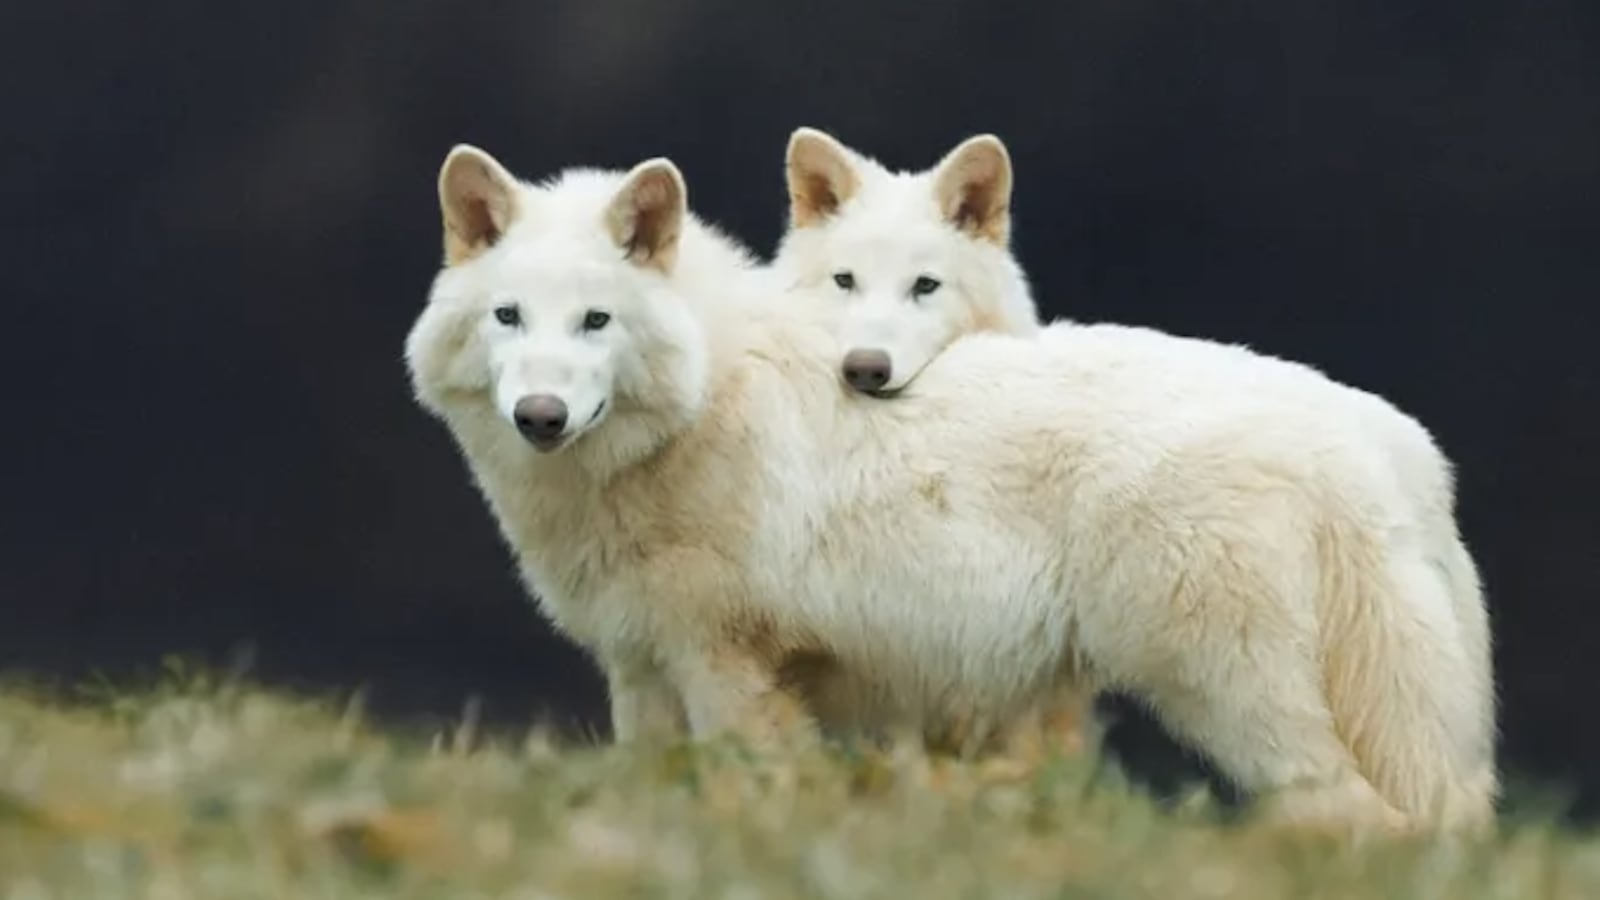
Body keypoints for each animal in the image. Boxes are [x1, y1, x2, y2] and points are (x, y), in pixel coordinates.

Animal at [404, 144, 1495, 833]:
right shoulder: (641, 672)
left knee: (1362, 816)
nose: (541, 415)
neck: (701, 403)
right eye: (509, 317)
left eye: (595, 321)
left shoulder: (728, 671)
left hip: (1226, 698)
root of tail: (1377, 440)